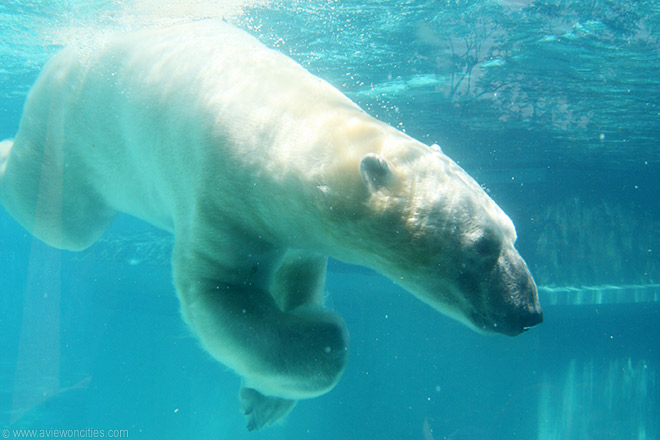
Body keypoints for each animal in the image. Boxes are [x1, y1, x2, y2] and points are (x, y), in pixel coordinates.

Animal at [0, 21, 542, 430]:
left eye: (513, 233)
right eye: (482, 245)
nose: (530, 312)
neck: (286, 127)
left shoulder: (293, 227)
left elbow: (296, 283)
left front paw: (263, 399)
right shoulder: (220, 196)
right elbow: (220, 293)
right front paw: (322, 334)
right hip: (70, 127)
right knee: (62, 218)